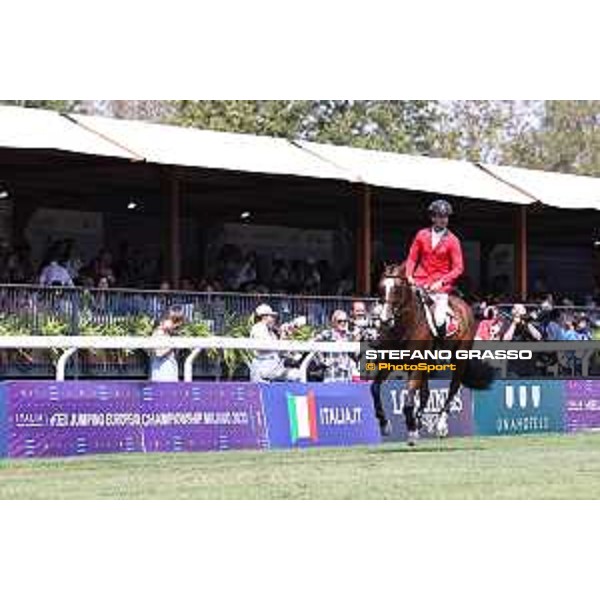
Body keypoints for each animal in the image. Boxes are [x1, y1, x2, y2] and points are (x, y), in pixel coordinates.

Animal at [370, 264, 492, 446]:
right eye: (380, 287)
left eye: (397, 289)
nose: (385, 320)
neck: (404, 326)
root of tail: (465, 305)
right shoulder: (390, 363)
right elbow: (375, 388)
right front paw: (385, 425)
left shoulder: (417, 365)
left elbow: (408, 401)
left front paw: (411, 430)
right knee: (426, 393)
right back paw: (419, 421)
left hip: (459, 358)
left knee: (453, 387)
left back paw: (440, 425)